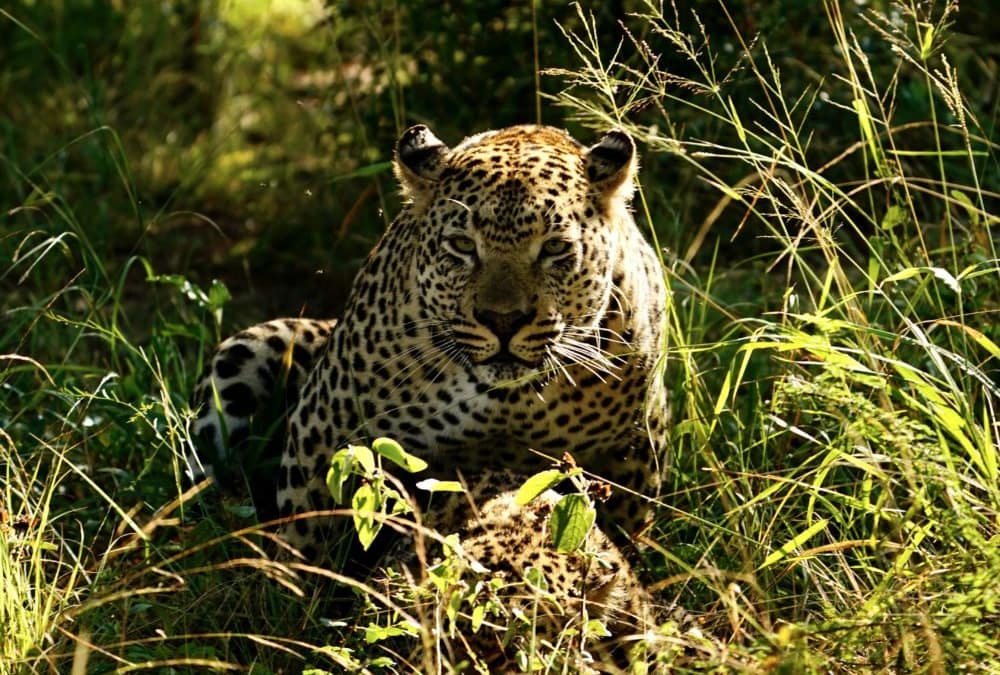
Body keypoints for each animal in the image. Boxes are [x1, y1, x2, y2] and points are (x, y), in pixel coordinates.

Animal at [188, 123, 669, 561]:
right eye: (461, 245)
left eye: (554, 248)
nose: (503, 320)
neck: (507, 403)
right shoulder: (325, 428)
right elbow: (309, 535)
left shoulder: (633, 452)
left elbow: (619, 538)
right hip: (242, 357)